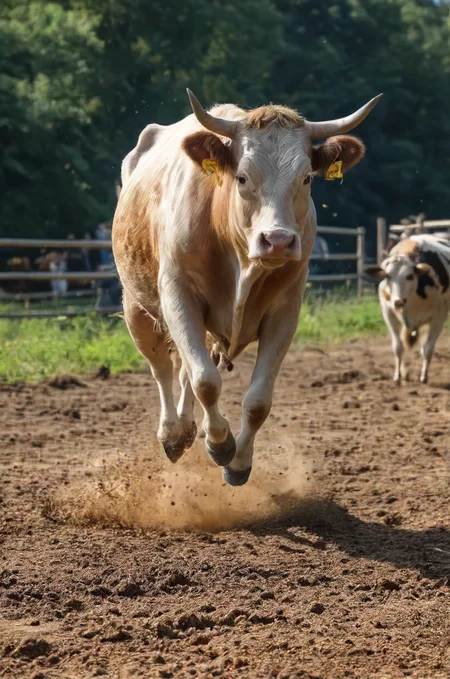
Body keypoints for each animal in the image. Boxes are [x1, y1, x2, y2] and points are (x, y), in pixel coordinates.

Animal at [112, 89, 382, 486]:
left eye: (307, 178)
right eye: (241, 177)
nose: (278, 241)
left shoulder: (285, 311)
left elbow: (256, 401)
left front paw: (238, 461)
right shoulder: (178, 295)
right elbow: (206, 381)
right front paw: (219, 443)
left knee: (184, 368)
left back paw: (189, 429)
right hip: (137, 306)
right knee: (161, 365)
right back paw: (172, 433)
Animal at [366, 235, 450, 385]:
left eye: (410, 276)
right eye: (387, 276)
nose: (398, 301)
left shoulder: (440, 314)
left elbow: (427, 348)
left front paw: (424, 376)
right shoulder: (388, 312)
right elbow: (398, 347)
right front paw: (398, 376)